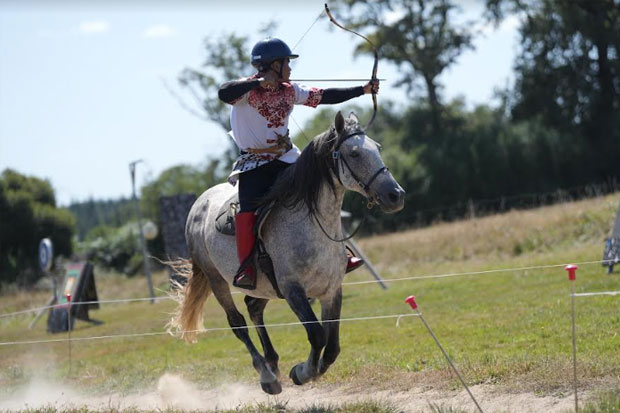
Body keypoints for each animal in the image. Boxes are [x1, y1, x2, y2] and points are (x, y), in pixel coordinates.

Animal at [167, 112, 404, 392]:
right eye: (354, 154)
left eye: (377, 148)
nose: (395, 195)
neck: (312, 224)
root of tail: (198, 204)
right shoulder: (293, 290)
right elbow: (317, 334)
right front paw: (303, 372)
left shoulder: (331, 290)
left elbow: (332, 346)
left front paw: (309, 370)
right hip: (216, 279)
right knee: (238, 323)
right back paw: (266, 375)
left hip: (263, 286)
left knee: (253, 308)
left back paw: (272, 362)